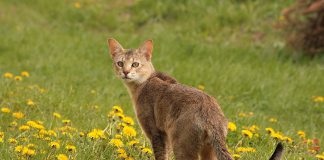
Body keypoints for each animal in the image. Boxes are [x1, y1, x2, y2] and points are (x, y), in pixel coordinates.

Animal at [107, 38, 284, 160]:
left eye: (135, 64)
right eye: (120, 63)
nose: (125, 72)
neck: (145, 82)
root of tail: (211, 116)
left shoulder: (157, 133)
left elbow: (161, 156)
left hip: (182, 145)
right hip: (207, 150)